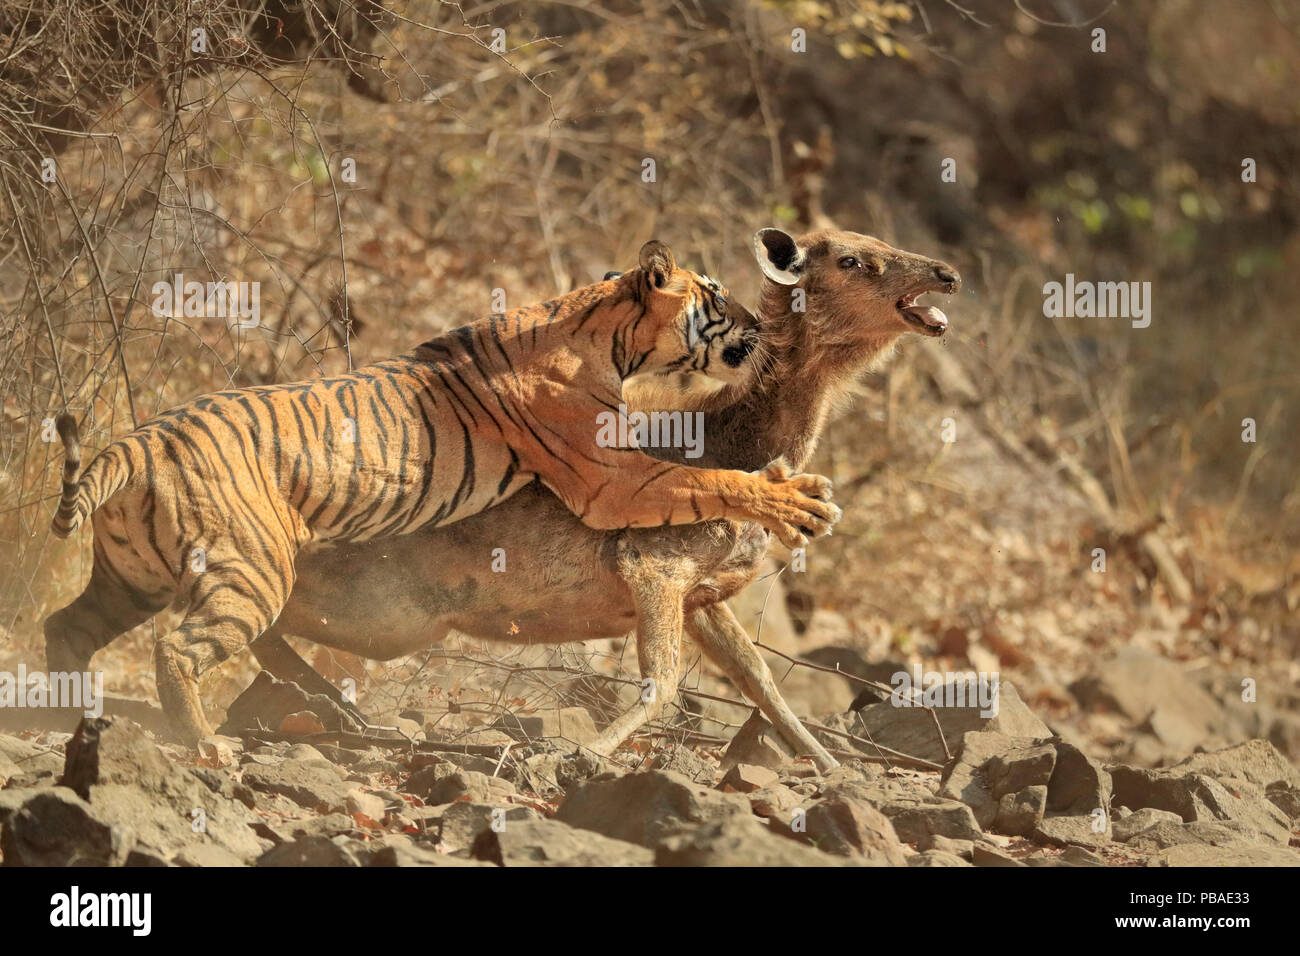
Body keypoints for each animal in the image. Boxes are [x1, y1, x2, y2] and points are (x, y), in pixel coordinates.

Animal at [45, 240, 842, 749]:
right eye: (716, 294)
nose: (764, 322)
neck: (608, 332)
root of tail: (139, 440)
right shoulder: (609, 479)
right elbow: (709, 479)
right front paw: (797, 499)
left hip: (131, 578)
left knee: (64, 626)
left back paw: (65, 716)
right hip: (249, 572)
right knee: (177, 648)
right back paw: (202, 745)